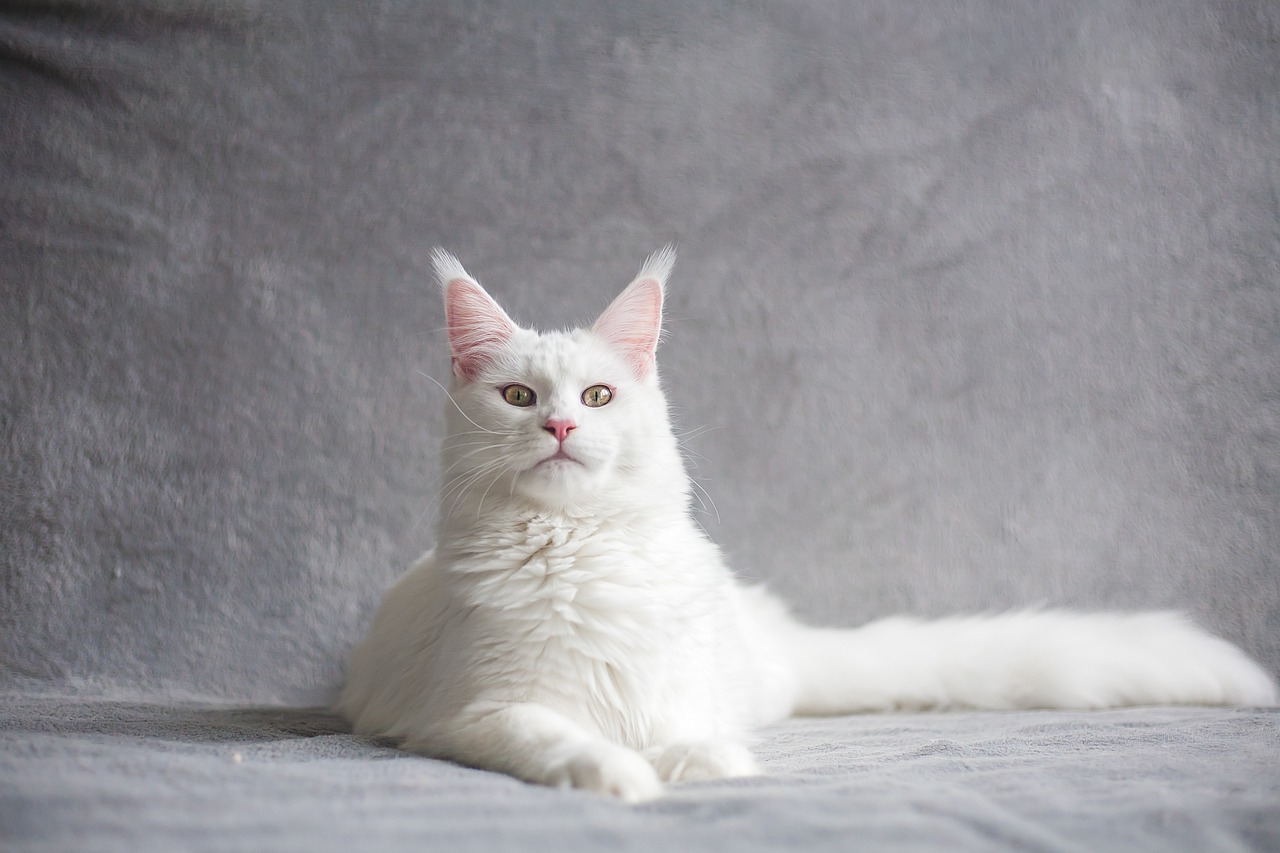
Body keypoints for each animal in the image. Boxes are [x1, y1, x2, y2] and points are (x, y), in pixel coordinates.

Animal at [335, 245, 1274, 799]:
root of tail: (773, 635)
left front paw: (704, 765)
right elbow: (567, 741)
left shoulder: (673, 691)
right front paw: (622, 776)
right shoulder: (479, 710)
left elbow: (683, 735)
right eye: (519, 396)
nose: (561, 427)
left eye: (597, 396)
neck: (581, 546)